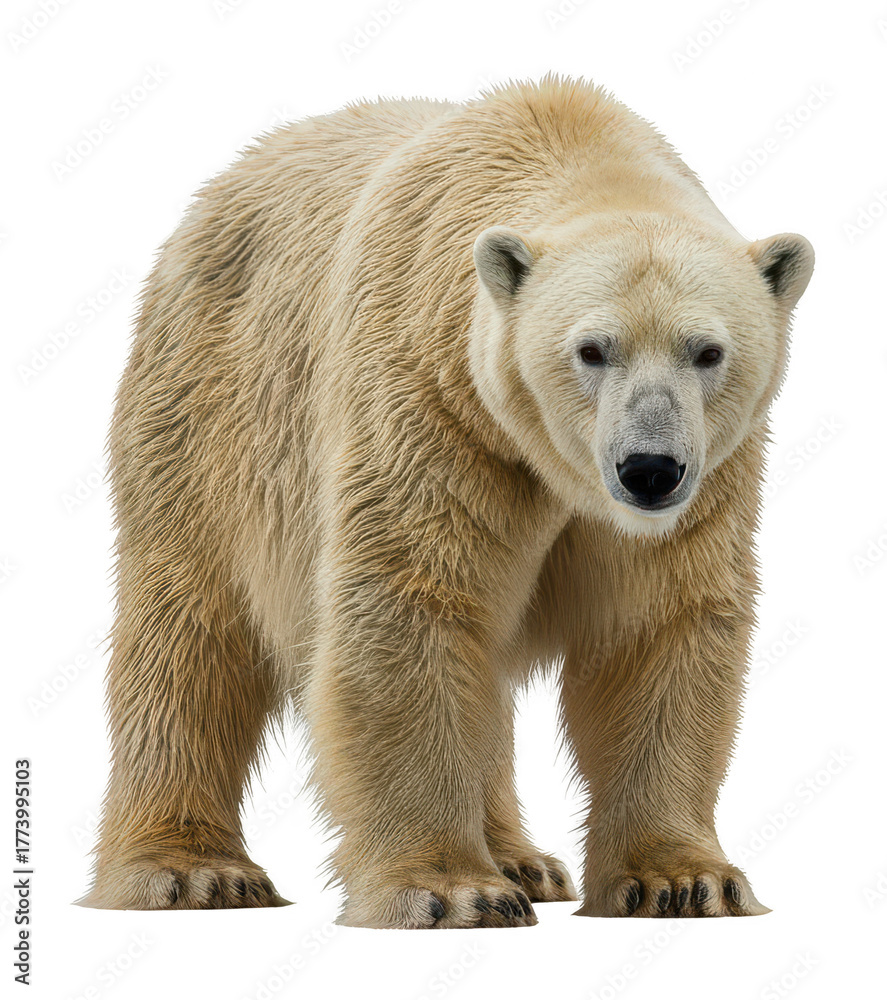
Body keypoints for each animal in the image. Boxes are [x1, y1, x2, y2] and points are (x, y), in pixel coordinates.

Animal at [80, 76, 813, 927]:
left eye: (707, 351)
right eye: (590, 349)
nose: (649, 470)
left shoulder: (707, 478)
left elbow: (656, 622)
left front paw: (684, 880)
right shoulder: (431, 398)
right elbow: (409, 601)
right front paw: (450, 888)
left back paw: (525, 861)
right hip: (206, 412)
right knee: (191, 630)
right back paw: (193, 870)